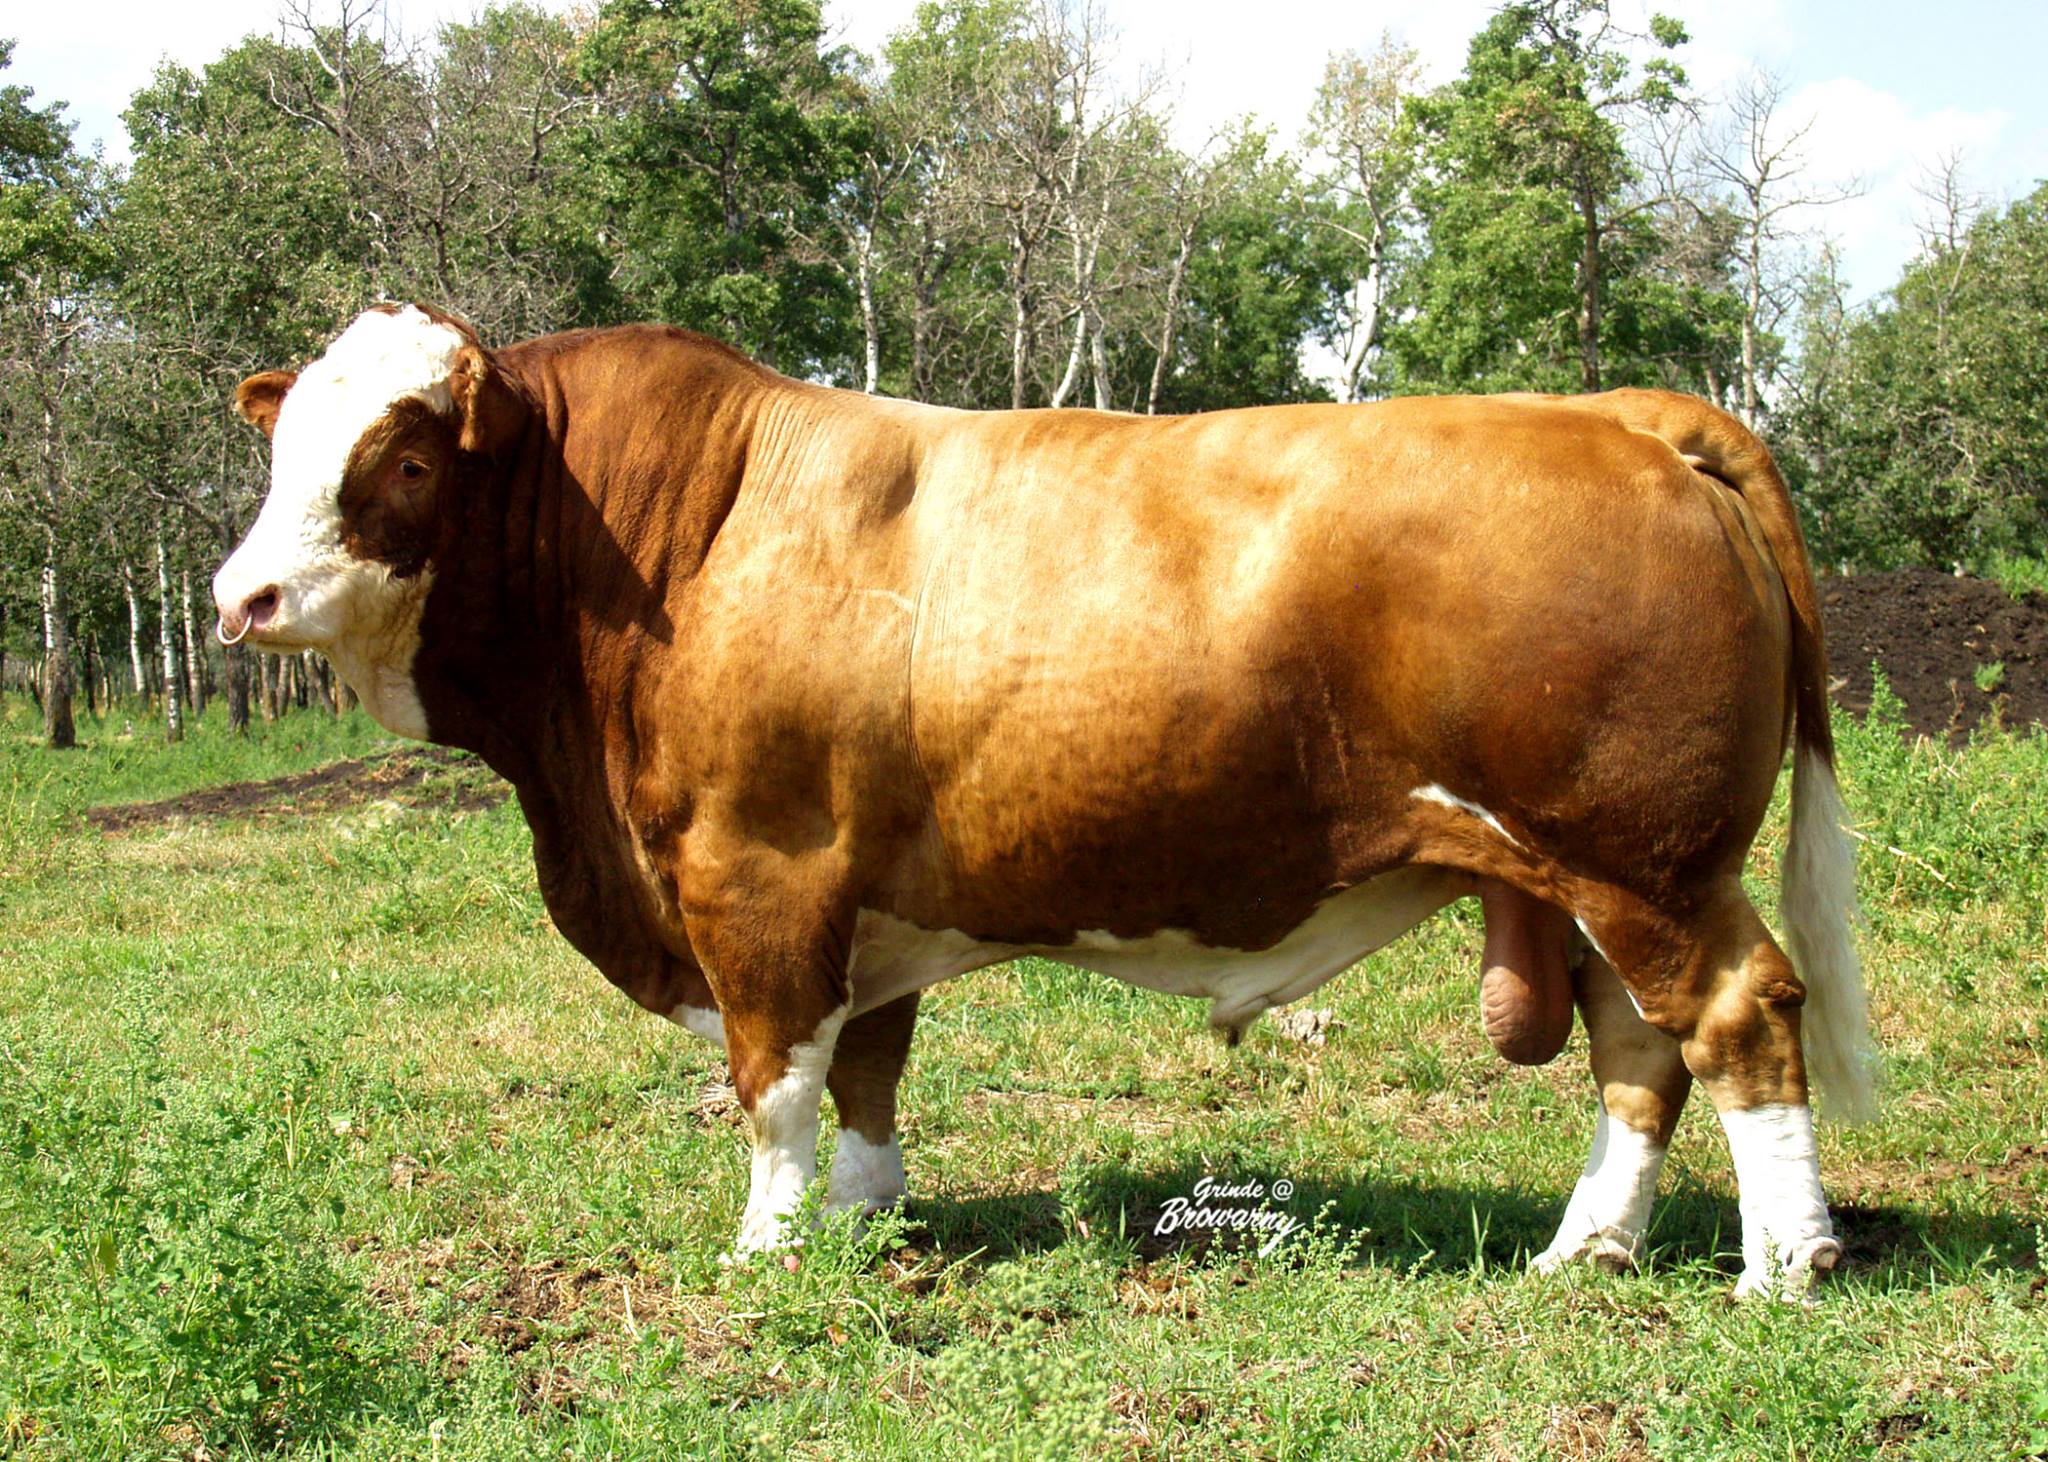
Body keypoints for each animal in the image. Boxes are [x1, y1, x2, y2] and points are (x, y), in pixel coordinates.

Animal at [214, 303, 1876, 1296]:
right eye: (282, 445)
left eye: (406, 458)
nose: (244, 596)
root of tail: (1624, 410)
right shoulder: (861, 898)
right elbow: (868, 1069)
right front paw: (868, 1218)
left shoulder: (758, 876)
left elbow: (775, 1082)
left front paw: (768, 1249)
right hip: (1582, 875)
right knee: (1640, 1053)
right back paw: (1584, 1249)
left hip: (1645, 862)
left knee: (1738, 1019)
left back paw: (1783, 1263)